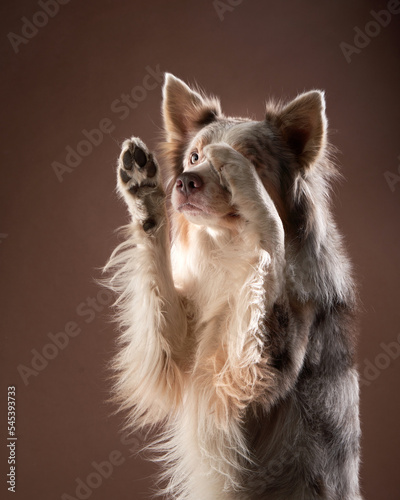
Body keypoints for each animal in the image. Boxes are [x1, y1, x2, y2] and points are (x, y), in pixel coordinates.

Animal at [104, 74, 364, 500]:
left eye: (252, 162)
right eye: (194, 157)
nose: (185, 181)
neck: (230, 251)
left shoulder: (261, 372)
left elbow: (270, 238)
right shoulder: (174, 355)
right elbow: (158, 292)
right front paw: (144, 193)